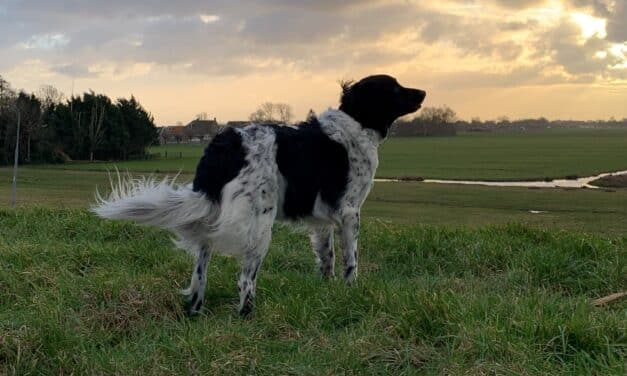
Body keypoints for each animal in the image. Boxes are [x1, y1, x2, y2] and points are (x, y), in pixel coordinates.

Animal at [93, 75, 426, 316]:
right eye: (395, 88)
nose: (423, 92)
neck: (357, 121)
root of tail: (226, 143)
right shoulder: (349, 212)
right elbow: (351, 260)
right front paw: (350, 292)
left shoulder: (321, 219)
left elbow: (327, 258)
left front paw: (327, 292)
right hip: (260, 224)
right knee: (245, 279)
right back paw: (248, 316)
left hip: (214, 224)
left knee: (200, 273)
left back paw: (197, 312)